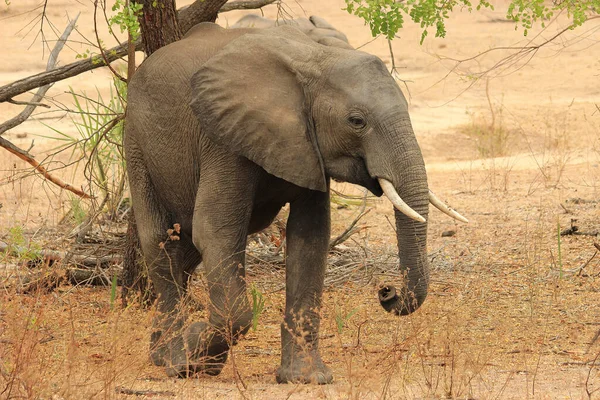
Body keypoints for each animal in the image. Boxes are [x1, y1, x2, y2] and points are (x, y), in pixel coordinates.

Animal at [124, 21, 466, 384]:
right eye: (357, 121)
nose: (386, 291)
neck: (316, 59)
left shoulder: (308, 147)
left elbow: (310, 237)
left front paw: (305, 378)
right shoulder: (222, 139)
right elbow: (216, 231)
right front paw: (193, 352)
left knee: (186, 251)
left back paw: (165, 356)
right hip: (137, 139)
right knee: (163, 243)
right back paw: (174, 360)